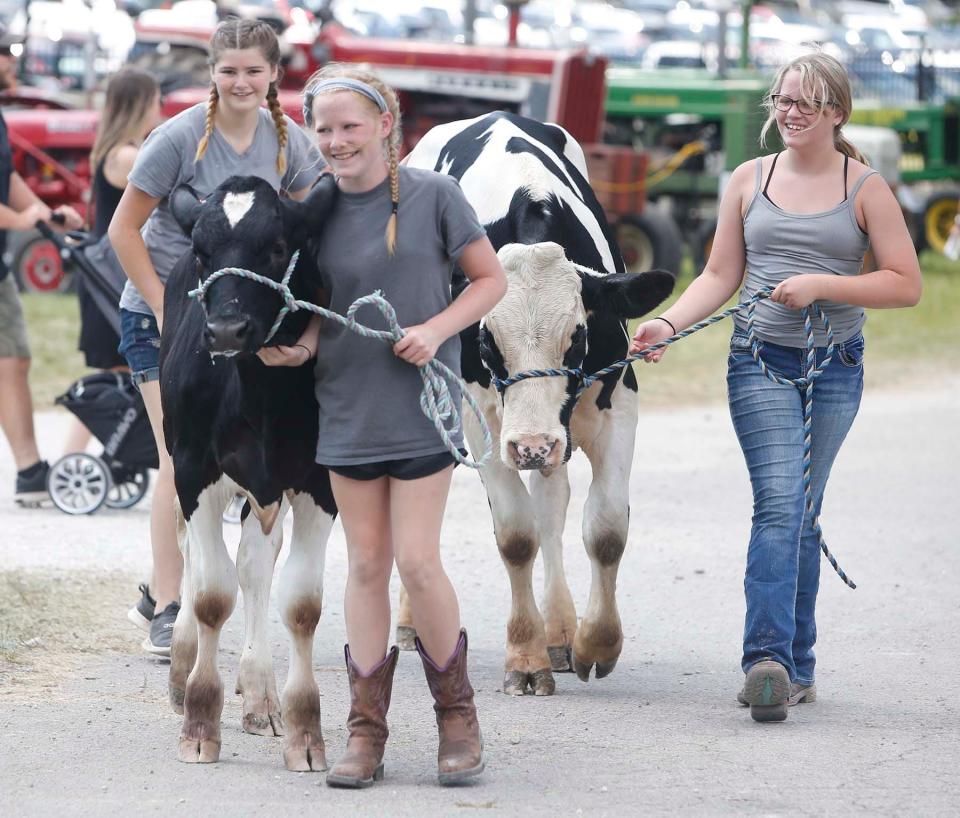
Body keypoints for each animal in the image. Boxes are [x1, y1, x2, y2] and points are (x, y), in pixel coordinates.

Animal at [165, 175, 342, 768]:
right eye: (202, 251)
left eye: (278, 247)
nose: (225, 330)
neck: (259, 393)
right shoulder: (192, 470)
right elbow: (211, 595)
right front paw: (200, 722)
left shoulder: (319, 483)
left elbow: (301, 604)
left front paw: (304, 731)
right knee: (193, 553)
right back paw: (183, 666)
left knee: (256, 564)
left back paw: (261, 693)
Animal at [402, 110, 672, 696]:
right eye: (484, 342)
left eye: (577, 336)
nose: (531, 445)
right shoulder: (484, 426)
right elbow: (516, 536)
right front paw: (525, 658)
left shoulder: (617, 406)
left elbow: (606, 528)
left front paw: (595, 642)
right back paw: (411, 621)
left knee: (553, 504)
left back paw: (561, 630)